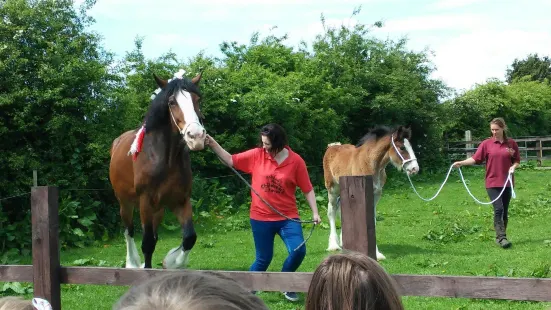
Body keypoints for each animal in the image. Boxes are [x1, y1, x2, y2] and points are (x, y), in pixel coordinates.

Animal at [109, 70, 206, 268]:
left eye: (197, 99)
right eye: (172, 102)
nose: (196, 137)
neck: (165, 160)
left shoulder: (180, 200)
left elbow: (189, 237)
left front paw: (172, 262)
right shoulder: (145, 201)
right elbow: (146, 243)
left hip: (158, 210)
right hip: (125, 203)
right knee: (129, 232)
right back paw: (132, 263)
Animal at [322, 124, 420, 260]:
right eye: (402, 147)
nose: (415, 169)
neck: (370, 163)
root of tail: (332, 146)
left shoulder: (376, 194)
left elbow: (372, 220)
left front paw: (377, 254)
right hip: (332, 189)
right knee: (331, 211)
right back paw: (333, 245)